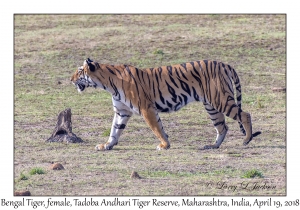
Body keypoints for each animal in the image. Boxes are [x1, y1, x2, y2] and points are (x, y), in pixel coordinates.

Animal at [69, 57, 260, 151]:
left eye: (79, 71)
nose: (70, 79)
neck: (108, 84)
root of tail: (225, 64)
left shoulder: (146, 108)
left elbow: (157, 128)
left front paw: (164, 145)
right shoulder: (121, 111)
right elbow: (114, 130)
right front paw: (106, 145)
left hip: (220, 100)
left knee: (245, 115)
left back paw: (246, 139)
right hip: (211, 106)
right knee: (222, 127)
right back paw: (212, 146)